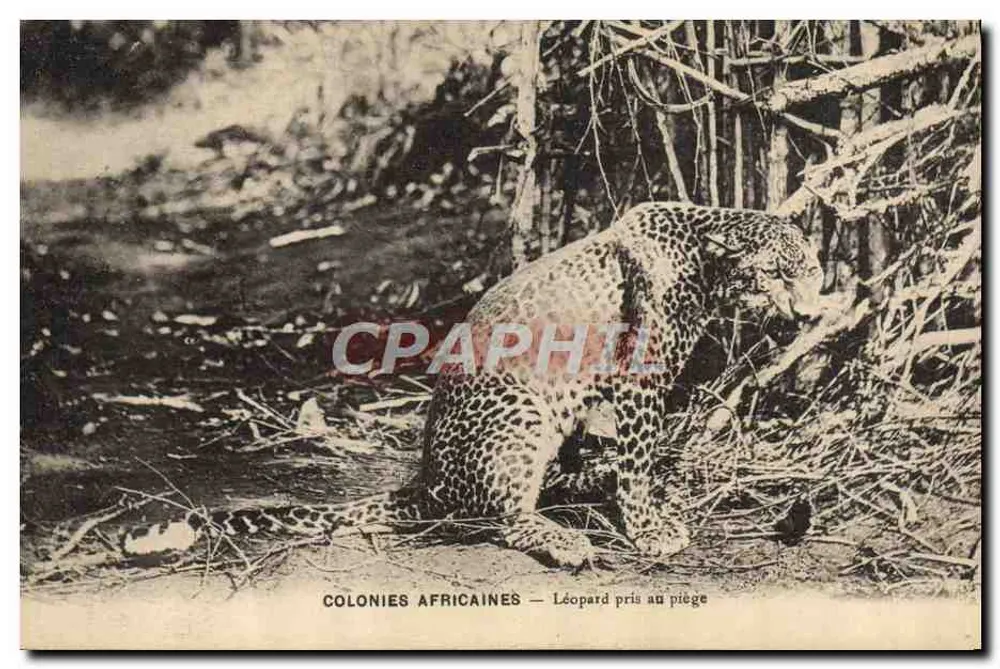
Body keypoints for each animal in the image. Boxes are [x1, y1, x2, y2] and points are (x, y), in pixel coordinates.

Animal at [122, 201, 824, 567]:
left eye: (812, 270)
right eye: (774, 274)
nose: (809, 311)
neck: (705, 259)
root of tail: (426, 481)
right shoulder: (638, 382)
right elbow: (638, 460)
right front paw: (649, 529)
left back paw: (573, 495)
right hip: (521, 411)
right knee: (503, 517)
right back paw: (564, 540)